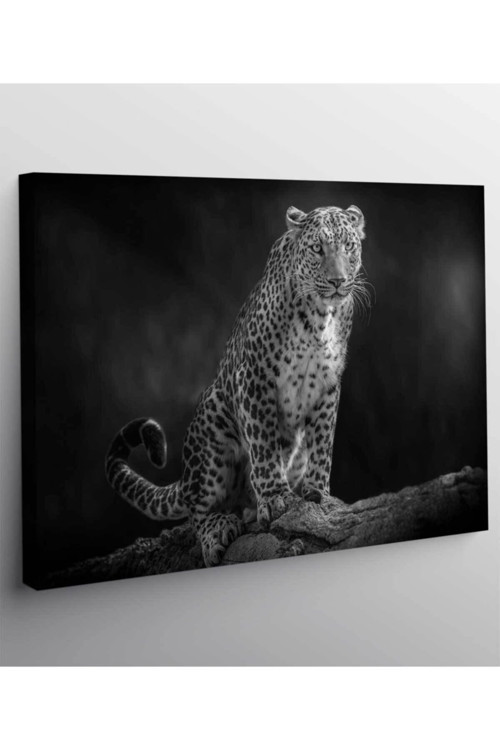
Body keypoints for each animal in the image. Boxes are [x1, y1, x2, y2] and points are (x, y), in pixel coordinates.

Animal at [105, 203, 368, 567]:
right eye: (317, 248)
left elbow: (322, 442)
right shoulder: (254, 375)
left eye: (349, 246)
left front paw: (318, 493)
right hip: (213, 417)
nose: (338, 281)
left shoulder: (328, 385)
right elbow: (263, 444)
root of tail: (185, 480)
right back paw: (219, 528)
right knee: (199, 509)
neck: (320, 315)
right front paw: (275, 497)